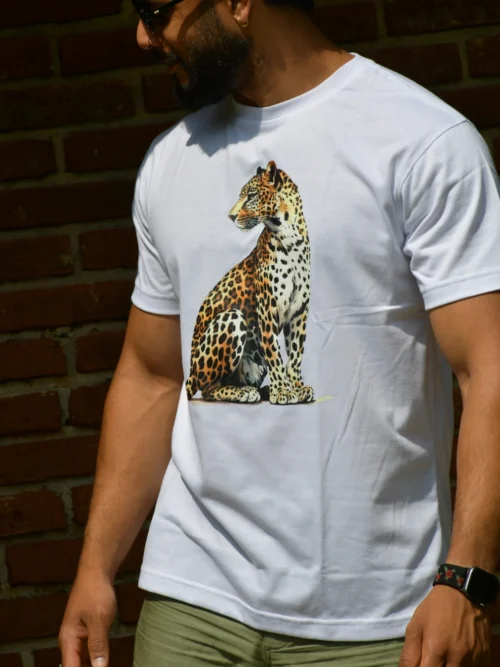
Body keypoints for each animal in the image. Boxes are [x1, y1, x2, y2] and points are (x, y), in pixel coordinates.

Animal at [185, 160, 314, 405]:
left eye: (251, 196)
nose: (230, 216)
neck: (291, 237)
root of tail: (188, 374)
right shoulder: (267, 308)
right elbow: (274, 352)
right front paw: (282, 391)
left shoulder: (299, 310)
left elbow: (295, 353)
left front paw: (296, 387)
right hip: (231, 318)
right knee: (207, 389)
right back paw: (245, 392)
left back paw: (262, 390)